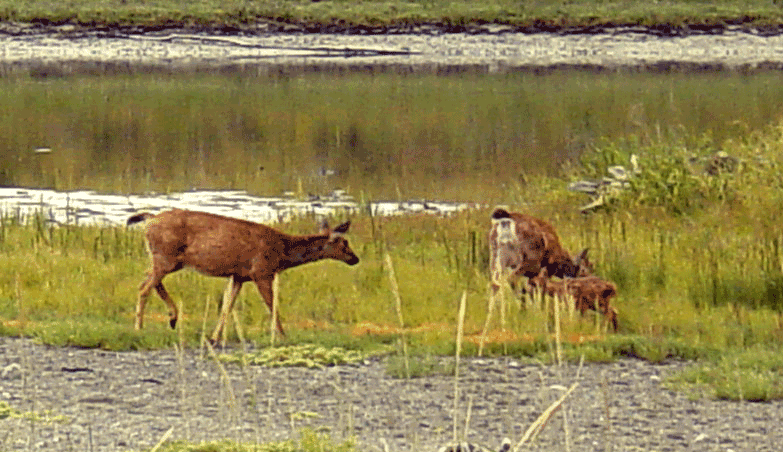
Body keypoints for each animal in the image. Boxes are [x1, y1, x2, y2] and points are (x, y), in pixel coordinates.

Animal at [126, 208, 359, 342]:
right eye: (344, 243)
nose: (355, 259)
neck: (282, 253)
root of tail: (150, 219)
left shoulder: (238, 276)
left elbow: (227, 307)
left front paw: (214, 337)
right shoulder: (262, 272)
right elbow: (272, 306)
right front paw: (283, 336)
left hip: (168, 260)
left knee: (149, 281)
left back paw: (173, 318)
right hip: (166, 257)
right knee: (144, 287)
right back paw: (139, 327)